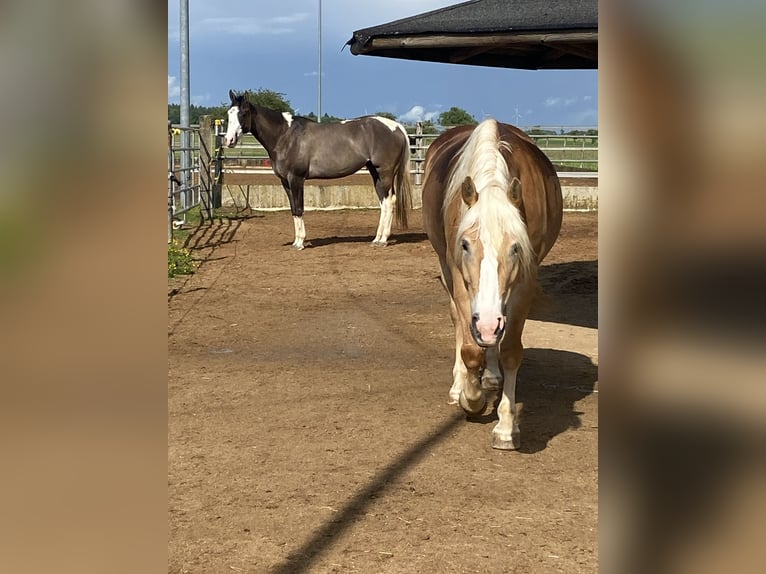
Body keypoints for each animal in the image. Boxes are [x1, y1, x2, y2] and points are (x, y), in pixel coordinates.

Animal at [224, 90, 412, 250]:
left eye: (243, 113)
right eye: (228, 114)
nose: (229, 140)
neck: (284, 136)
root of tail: (397, 127)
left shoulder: (296, 179)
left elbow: (299, 209)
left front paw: (300, 243)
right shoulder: (285, 181)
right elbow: (293, 209)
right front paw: (296, 241)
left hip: (385, 172)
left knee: (389, 201)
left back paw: (383, 240)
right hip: (375, 172)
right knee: (383, 202)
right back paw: (376, 239)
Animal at [421, 118, 563, 450]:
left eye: (515, 247)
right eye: (465, 245)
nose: (486, 324)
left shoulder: (524, 281)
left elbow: (510, 350)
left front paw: (506, 427)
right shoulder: (459, 279)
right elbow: (471, 349)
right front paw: (471, 400)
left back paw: (492, 376)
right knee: (460, 327)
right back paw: (460, 385)